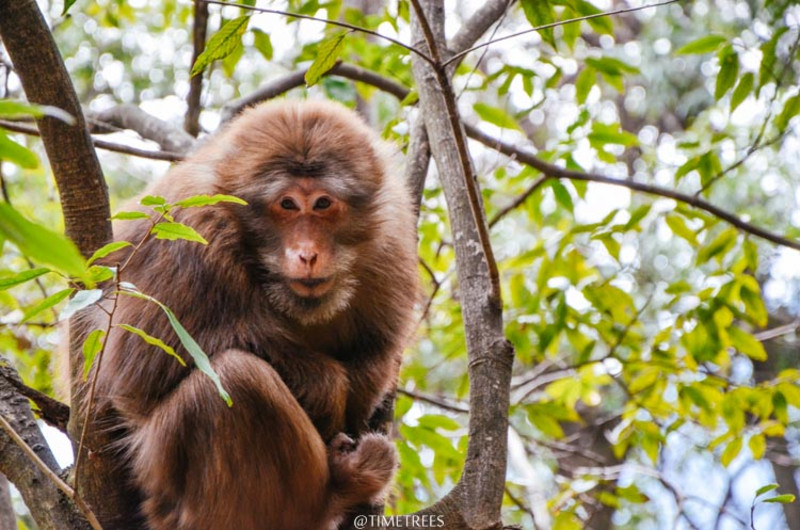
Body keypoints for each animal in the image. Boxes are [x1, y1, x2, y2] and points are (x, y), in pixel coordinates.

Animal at [73, 99, 418, 528]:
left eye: (322, 204)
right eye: (287, 204)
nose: (307, 254)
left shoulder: (392, 241)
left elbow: (377, 350)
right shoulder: (187, 235)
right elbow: (136, 370)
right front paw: (325, 384)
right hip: (162, 484)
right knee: (232, 381)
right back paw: (336, 490)